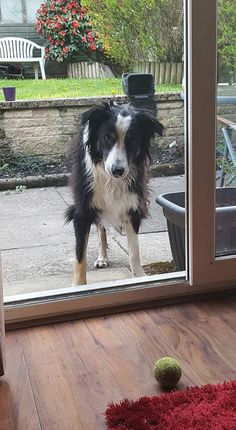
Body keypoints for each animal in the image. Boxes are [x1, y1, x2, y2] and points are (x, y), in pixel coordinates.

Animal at [66, 101, 162, 286]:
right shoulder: (83, 209)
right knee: (101, 229)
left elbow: (134, 252)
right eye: (107, 138)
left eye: (132, 140)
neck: (111, 180)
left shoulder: (133, 205)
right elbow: (80, 254)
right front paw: (78, 285)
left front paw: (139, 277)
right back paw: (102, 257)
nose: (117, 170)